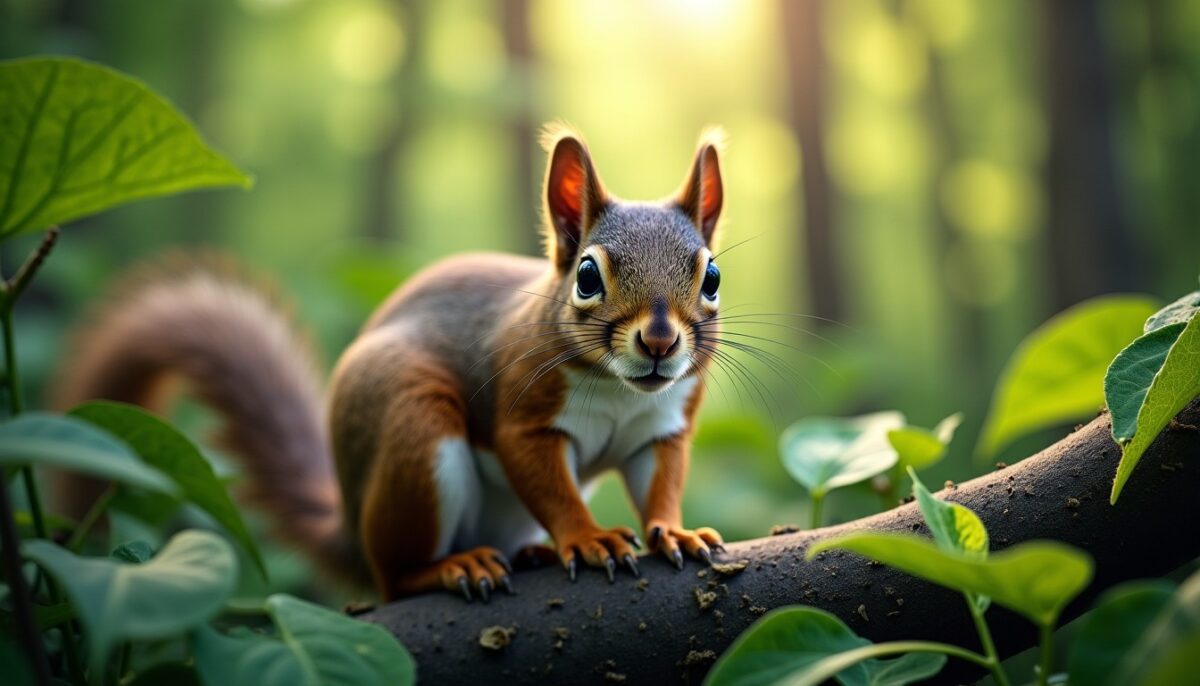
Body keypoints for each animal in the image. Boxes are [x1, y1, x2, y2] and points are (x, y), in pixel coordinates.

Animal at [53, 125, 728, 602]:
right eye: (587, 276)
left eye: (712, 276)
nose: (660, 343)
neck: (620, 391)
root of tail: (351, 529)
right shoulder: (522, 411)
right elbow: (548, 484)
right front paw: (588, 538)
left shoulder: (664, 428)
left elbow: (661, 481)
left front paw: (676, 530)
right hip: (414, 431)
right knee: (395, 575)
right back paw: (453, 565)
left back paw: (527, 554)